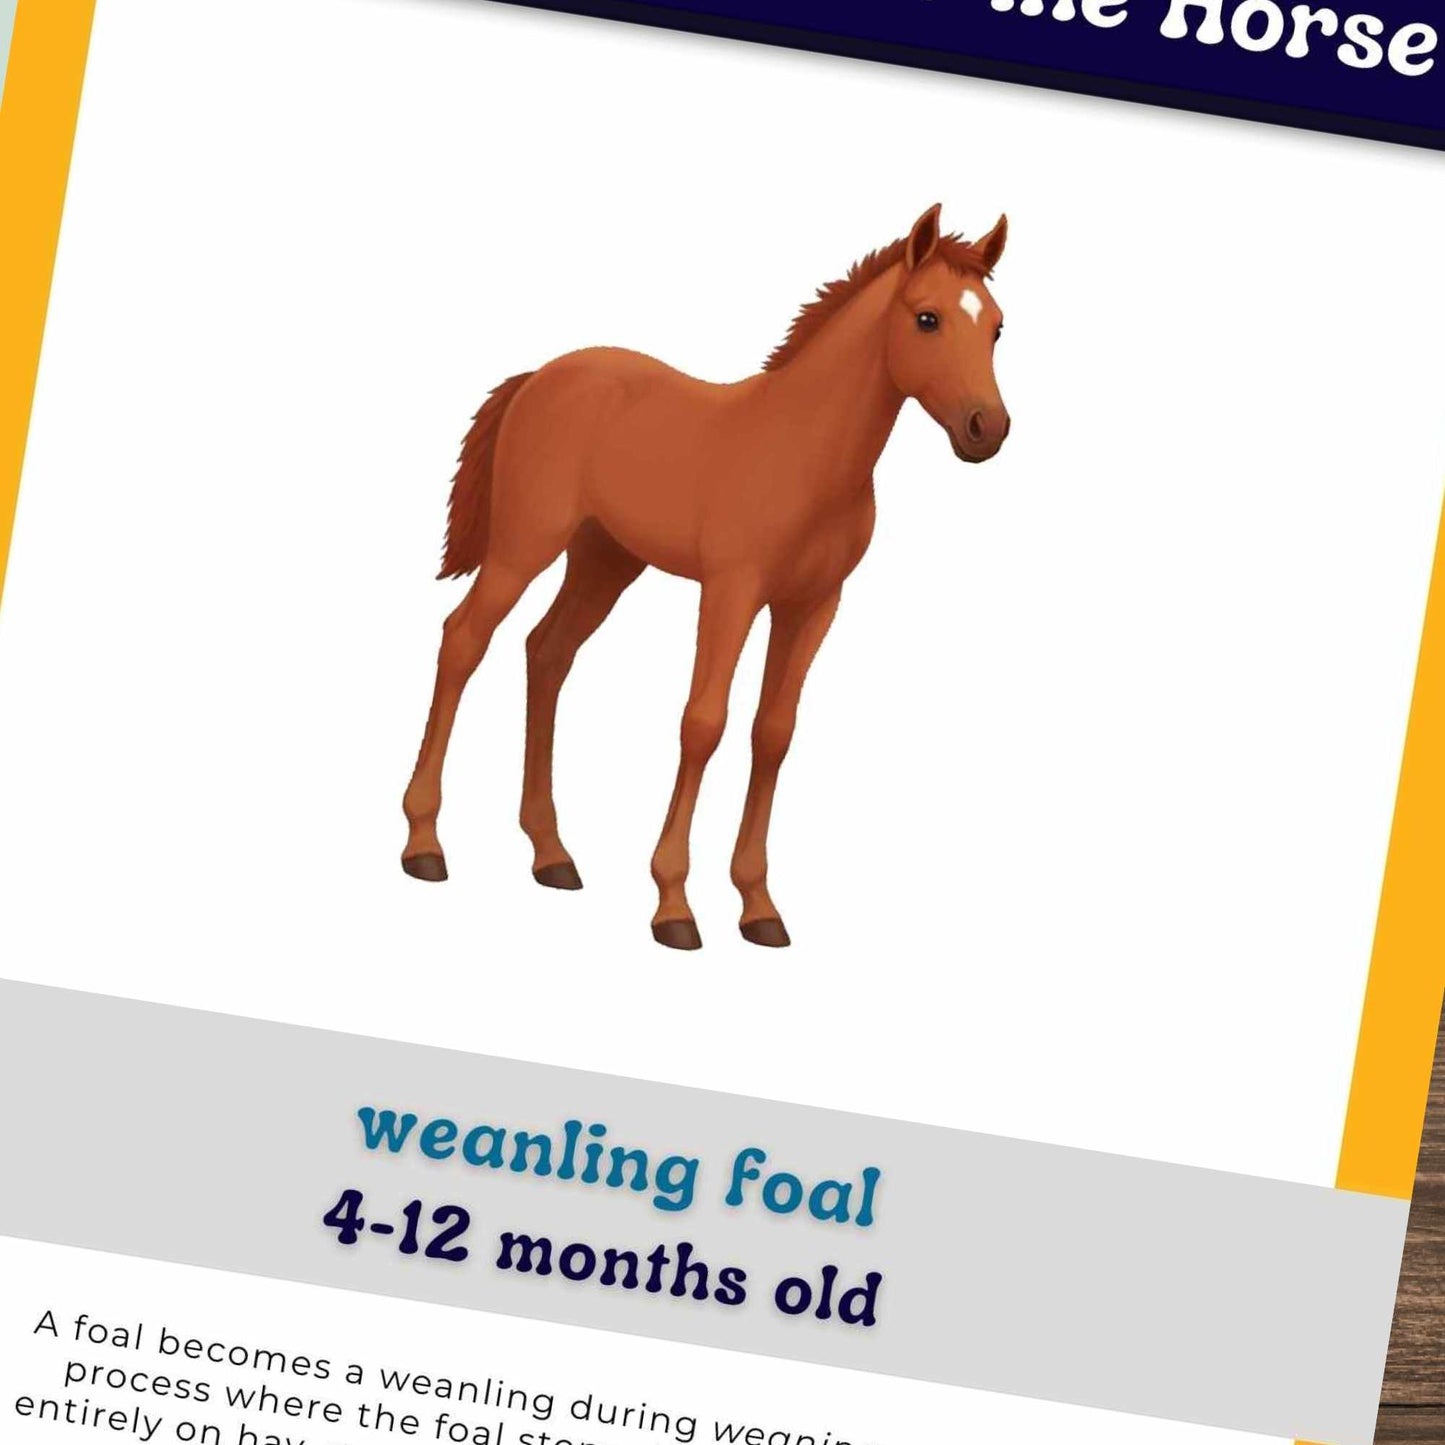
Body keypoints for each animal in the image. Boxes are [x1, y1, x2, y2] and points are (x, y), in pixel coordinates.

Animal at [401, 203, 1011, 950]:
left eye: (996, 326)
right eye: (927, 318)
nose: (987, 428)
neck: (805, 453)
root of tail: (542, 375)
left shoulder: (812, 605)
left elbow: (772, 733)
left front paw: (759, 906)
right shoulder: (731, 591)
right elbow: (703, 722)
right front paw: (674, 906)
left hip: (605, 560)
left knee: (547, 653)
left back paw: (552, 855)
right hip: (525, 544)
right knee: (463, 639)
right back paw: (423, 844)